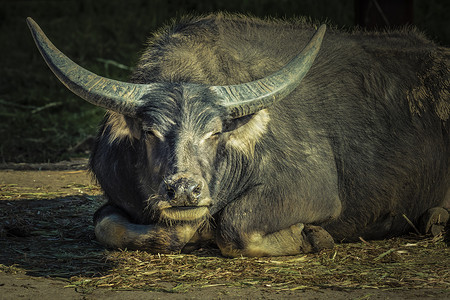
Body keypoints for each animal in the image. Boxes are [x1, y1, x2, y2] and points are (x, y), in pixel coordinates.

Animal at [27, 14, 446, 256]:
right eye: (149, 132)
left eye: (214, 133)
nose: (184, 190)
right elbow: (107, 225)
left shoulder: (313, 191)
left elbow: (237, 226)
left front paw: (313, 237)